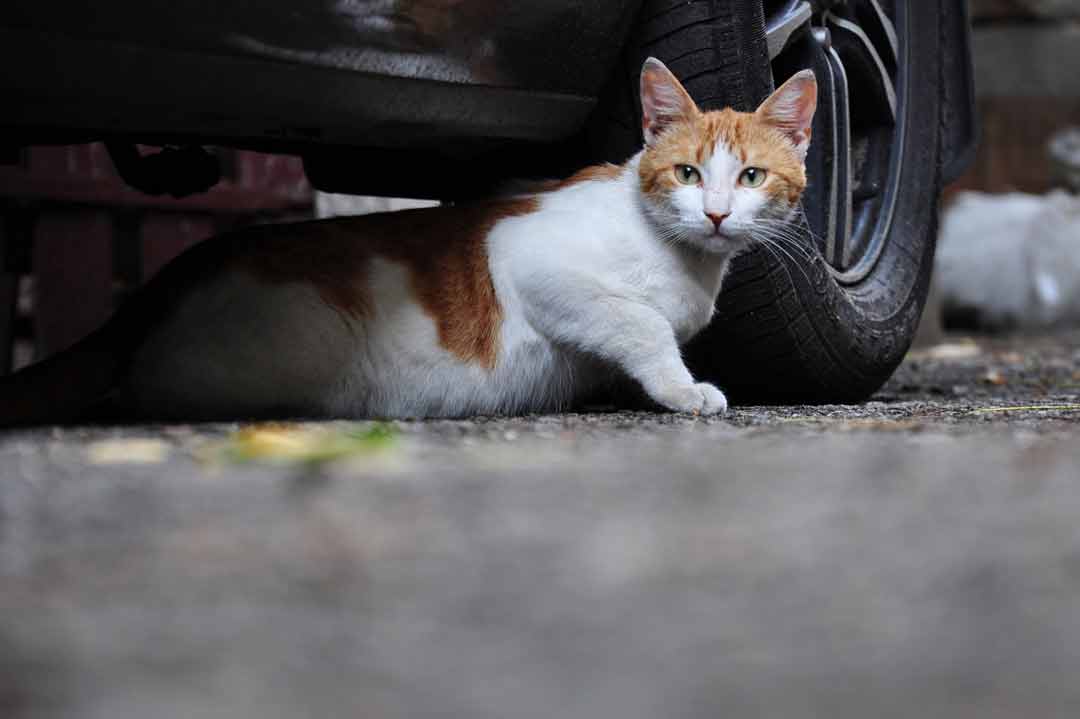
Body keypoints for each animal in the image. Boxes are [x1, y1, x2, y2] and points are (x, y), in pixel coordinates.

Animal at [0, 58, 812, 423]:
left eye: (749, 177)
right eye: (686, 172)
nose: (715, 214)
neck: (682, 259)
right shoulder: (534, 260)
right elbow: (640, 322)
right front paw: (683, 388)